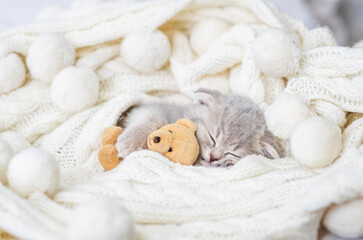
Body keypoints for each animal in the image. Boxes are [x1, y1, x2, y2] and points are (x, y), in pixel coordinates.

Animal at [116, 88, 282, 167]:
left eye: (232, 153)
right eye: (212, 138)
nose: (213, 157)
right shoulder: (153, 109)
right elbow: (153, 119)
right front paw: (130, 143)